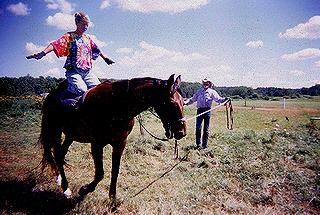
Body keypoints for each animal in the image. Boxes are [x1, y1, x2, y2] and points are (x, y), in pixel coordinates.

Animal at [38, 74, 186, 199]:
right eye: (172, 103)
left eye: (183, 102)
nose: (182, 132)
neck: (118, 105)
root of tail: (50, 95)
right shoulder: (97, 144)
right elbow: (100, 173)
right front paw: (85, 189)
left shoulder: (120, 143)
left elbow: (115, 170)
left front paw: (112, 197)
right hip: (54, 131)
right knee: (57, 154)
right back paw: (65, 187)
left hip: (70, 135)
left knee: (60, 154)